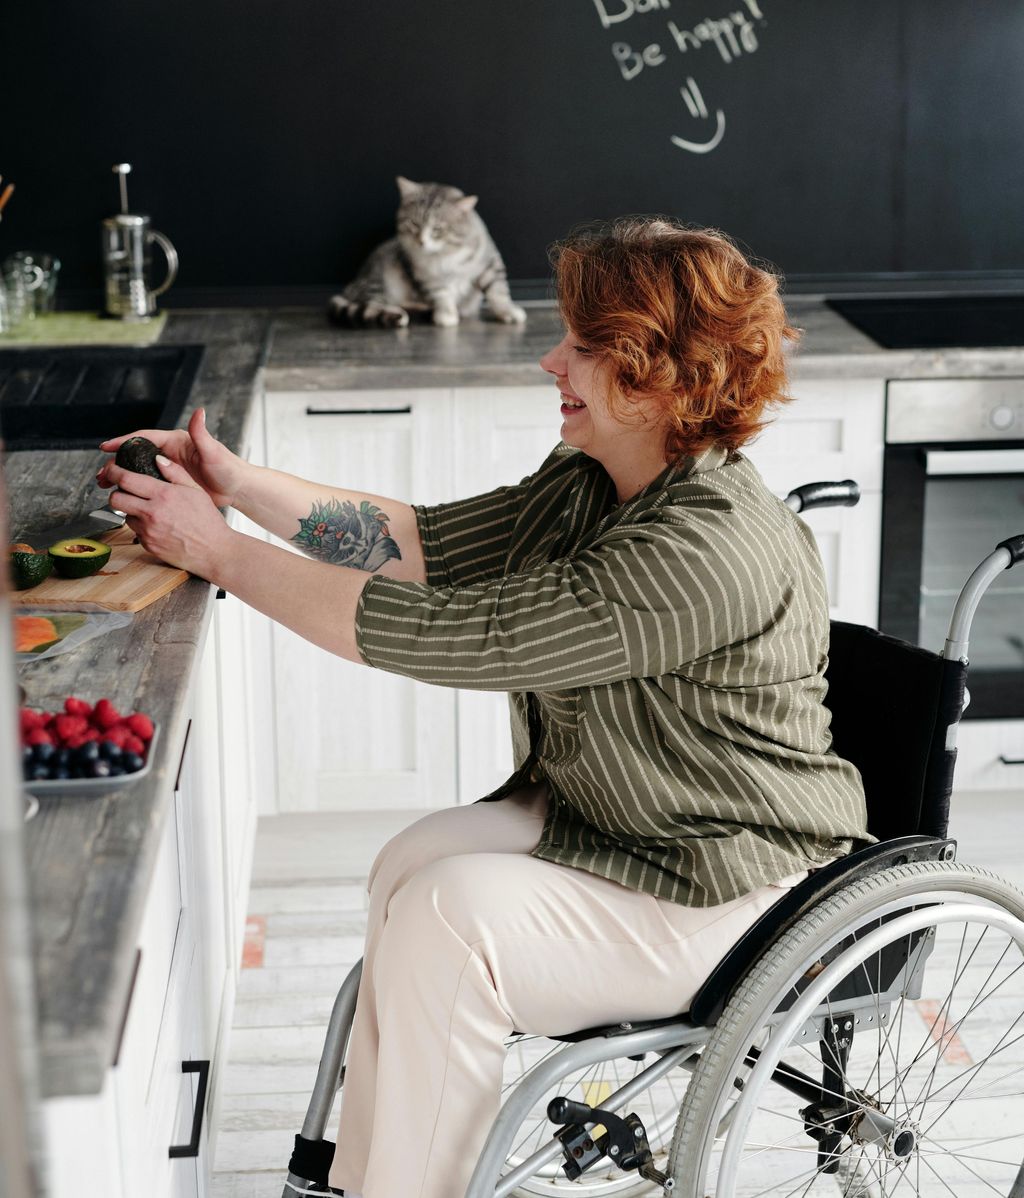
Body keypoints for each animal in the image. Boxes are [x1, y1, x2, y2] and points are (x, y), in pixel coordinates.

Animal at [330, 176, 529, 328]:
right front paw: (446, 315)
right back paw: (401, 312)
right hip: (380, 280)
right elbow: (441, 295)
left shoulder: (490, 263)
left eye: (437, 229)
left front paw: (508, 311)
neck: (445, 255)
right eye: (414, 224)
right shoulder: (427, 277)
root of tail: (351, 286)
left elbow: (498, 292)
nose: (422, 241)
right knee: (371, 304)